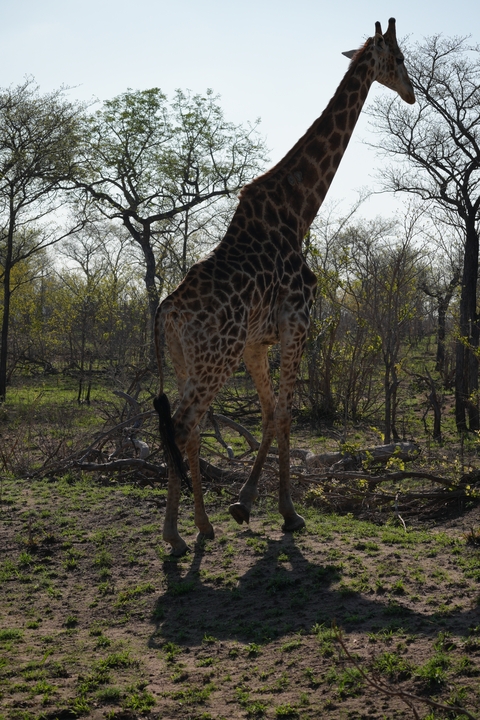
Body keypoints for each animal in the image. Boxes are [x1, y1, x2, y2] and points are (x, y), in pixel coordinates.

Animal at [154, 18, 415, 556]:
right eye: (399, 59)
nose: (413, 93)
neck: (298, 210)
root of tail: (167, 312)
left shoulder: (258, 343)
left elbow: (271, 411)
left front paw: (244, 504)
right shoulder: (298, 324)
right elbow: (287, 413)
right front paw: (287, 512)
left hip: (188, 360)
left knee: (185, 429)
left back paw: (198, 527)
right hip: (215, 358)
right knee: (186, 424)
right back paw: (176, 534)